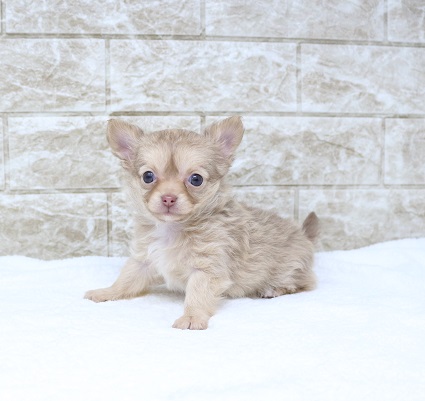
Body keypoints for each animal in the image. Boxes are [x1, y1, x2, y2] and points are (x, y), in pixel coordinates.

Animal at [83, 115, 318, 328]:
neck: (173, 229)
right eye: (148, 176)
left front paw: (191, 317)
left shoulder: (207, 270)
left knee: (302, 283)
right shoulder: (143, 259)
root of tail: (304, 235)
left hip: (291, 268)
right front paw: (107, 292)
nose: (168, 198)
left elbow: (197, 295)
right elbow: (126, 279)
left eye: (196, 179)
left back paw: (273, 289)